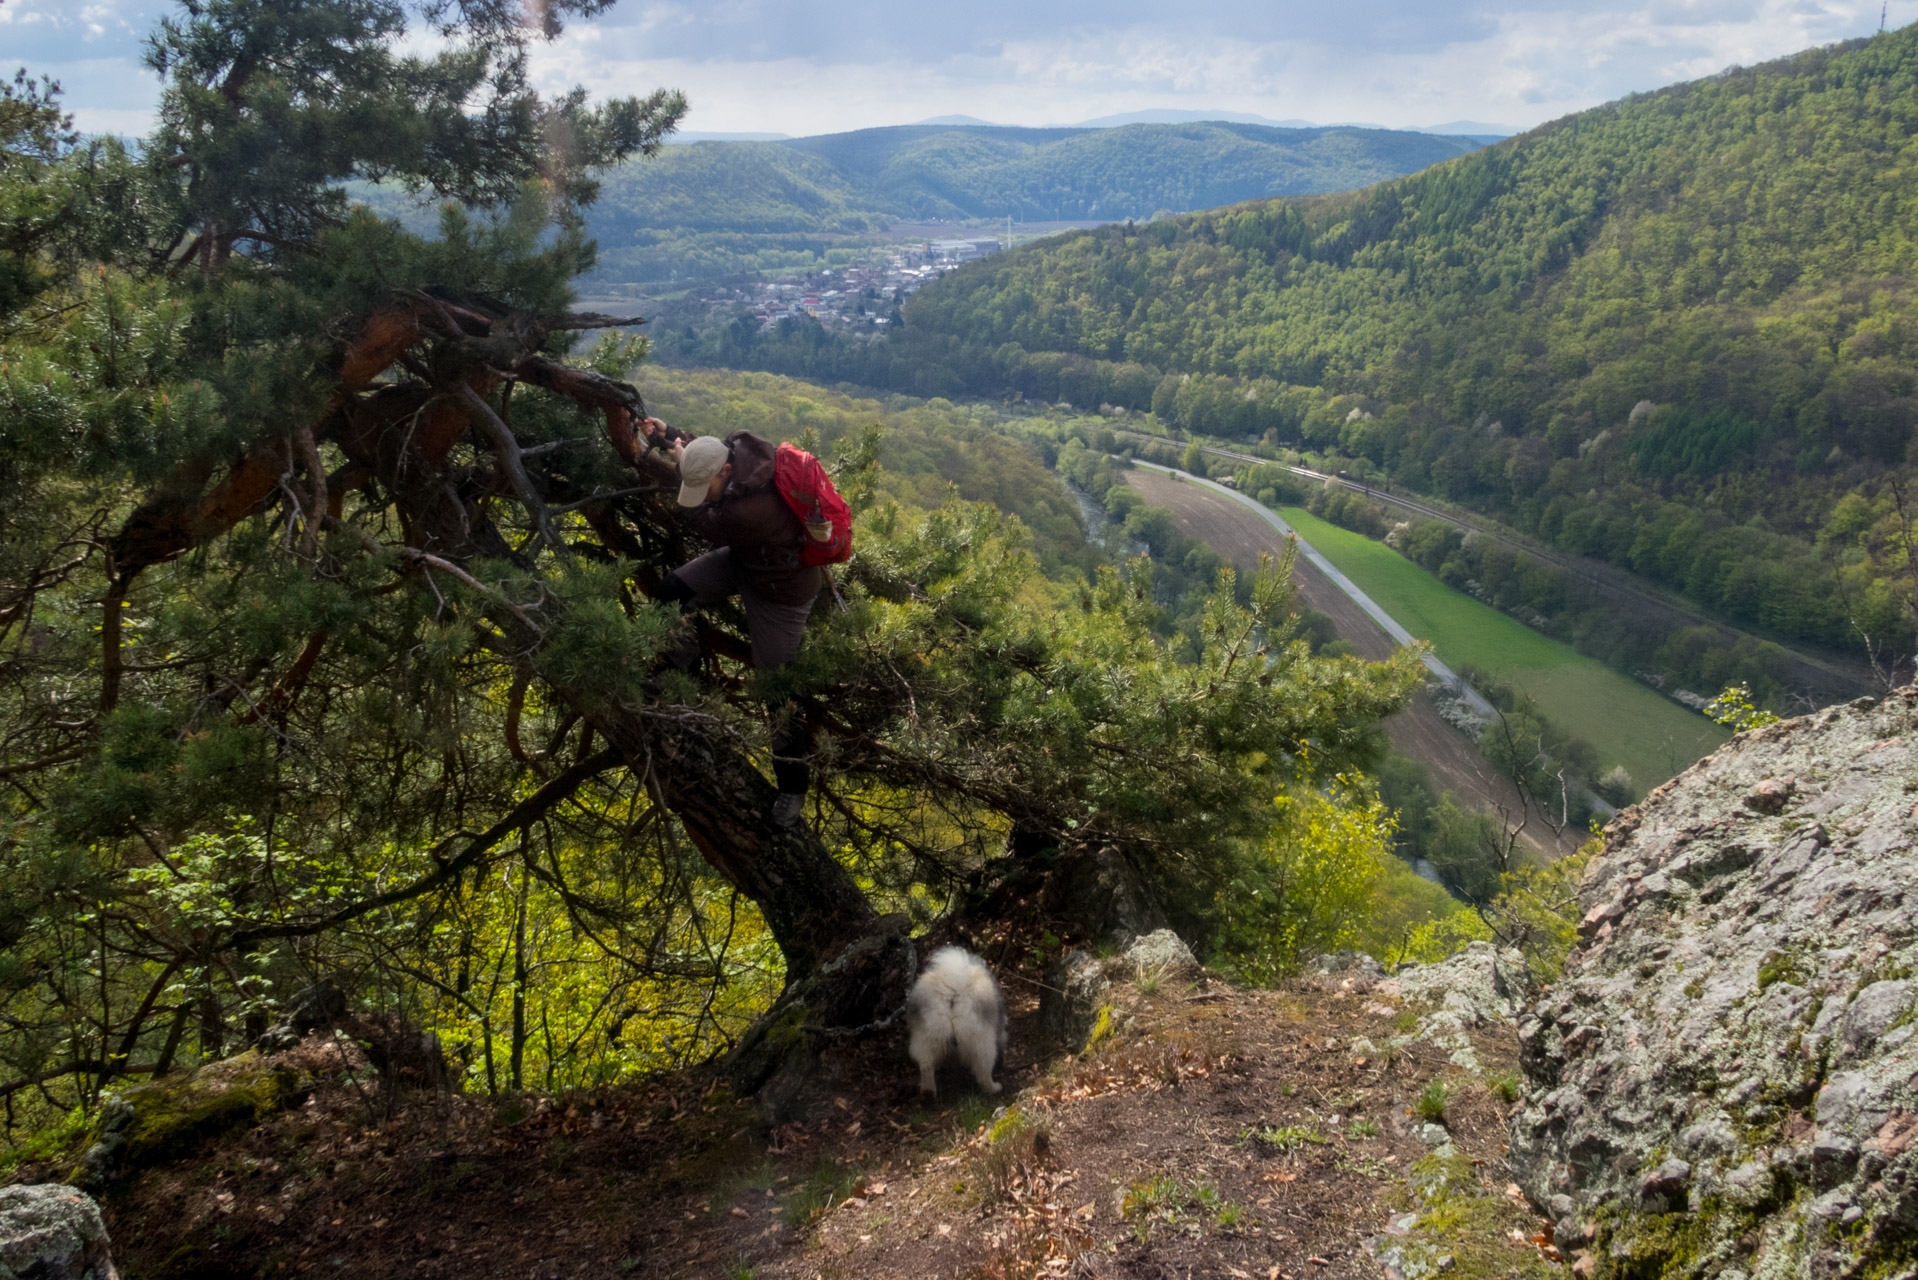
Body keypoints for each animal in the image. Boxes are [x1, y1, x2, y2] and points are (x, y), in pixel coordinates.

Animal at [905, 948, 1012, 1097]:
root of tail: (953, 991)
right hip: (982, 1041)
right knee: (983, 1071)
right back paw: (993, 1088)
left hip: (927, 1035)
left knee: (926, 1065)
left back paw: (928, 1092)